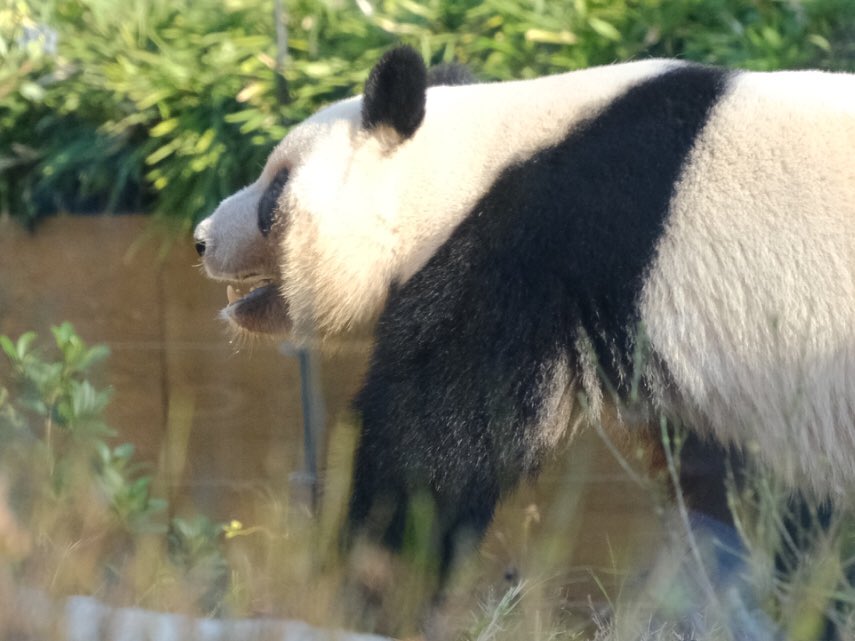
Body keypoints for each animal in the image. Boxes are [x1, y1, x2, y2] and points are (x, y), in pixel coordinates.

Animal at [194, 45, 855, 626]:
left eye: (274, 187)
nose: (201, 239)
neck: (466, 167)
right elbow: (741, 494)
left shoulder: (539, 251)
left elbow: (439, 439)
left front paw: (372, 577)